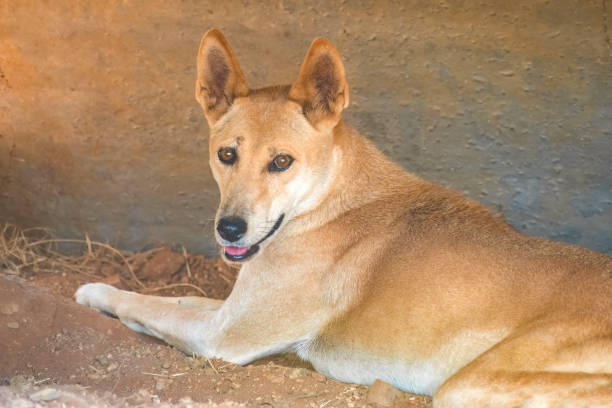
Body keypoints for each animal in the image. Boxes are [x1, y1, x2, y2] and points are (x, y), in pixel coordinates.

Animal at [77, 30, 612, 406]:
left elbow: (140, 303)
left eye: (282, 161)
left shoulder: (221, 336)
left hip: (468, 385)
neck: (329, 202)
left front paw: (94, 291)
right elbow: (177, 298)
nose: (229, 228)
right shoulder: (232, 309)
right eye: (226, 154)